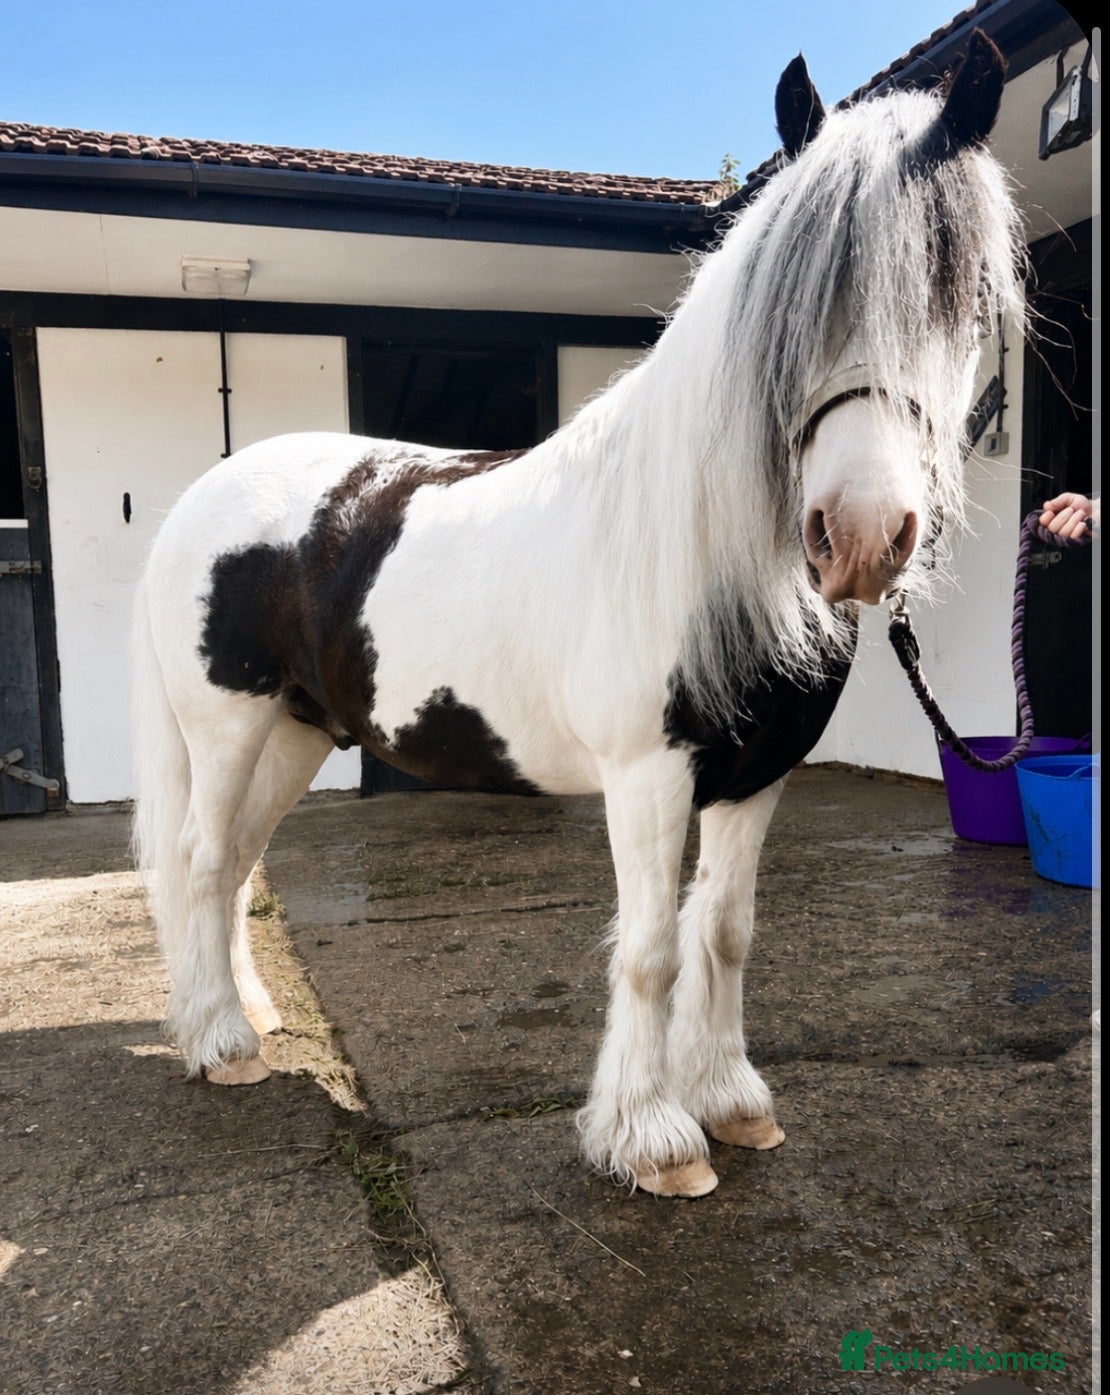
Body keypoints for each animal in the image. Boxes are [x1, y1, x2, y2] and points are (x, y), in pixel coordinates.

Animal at [133, 32, 1024, 1198]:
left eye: (959, 298)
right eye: (790, 305)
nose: (864, 535)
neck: (702, 553)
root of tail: (202, 496)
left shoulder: (757, 780)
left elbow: (725, 932)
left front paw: (731, 1100)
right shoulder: (648, 779)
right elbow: (649, 947)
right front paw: (651, 1137)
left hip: (294, 733)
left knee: (235, 862)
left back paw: (248, 1011)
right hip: (228, 728)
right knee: (199, 862)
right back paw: (219, 1042)